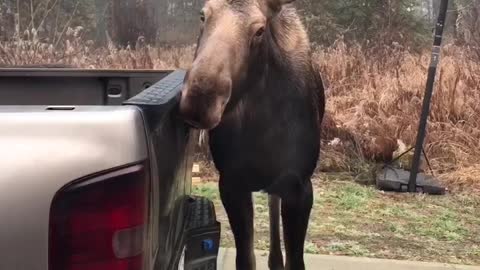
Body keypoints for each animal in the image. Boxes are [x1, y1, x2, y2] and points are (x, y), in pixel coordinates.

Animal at [180, 0, 326, 268]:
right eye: (202, 15)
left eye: (259, 30)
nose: (199, 101)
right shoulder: (231, 182)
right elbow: (245, 259)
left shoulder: (300, 185)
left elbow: (296, 261)